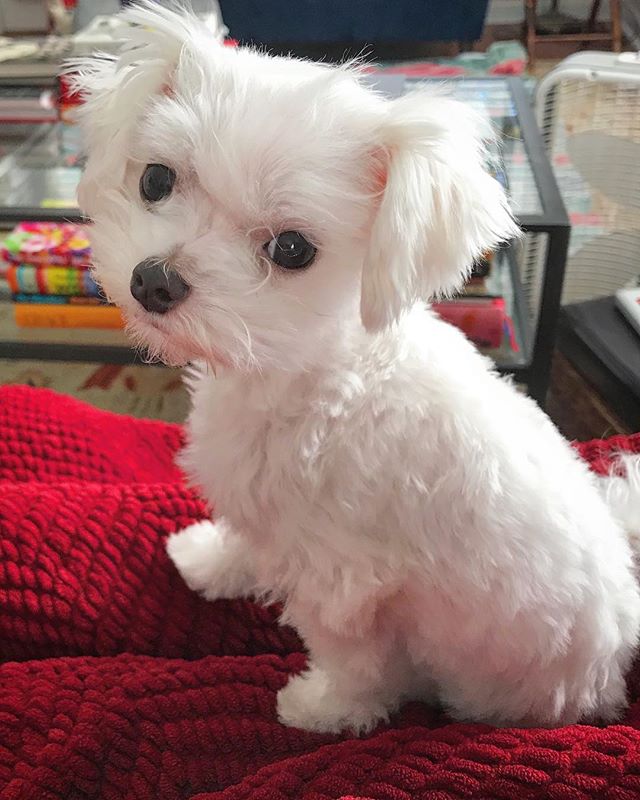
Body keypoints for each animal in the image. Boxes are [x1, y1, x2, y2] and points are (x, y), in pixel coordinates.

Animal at [71, 1, 640, 734]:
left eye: (291, 248)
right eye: (155, 180)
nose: (153, 280)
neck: (310, 378)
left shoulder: (341, 577)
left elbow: (353, 662)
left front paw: (324, 709)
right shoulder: (265, 510)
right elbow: (246, 540)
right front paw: (212, 561)